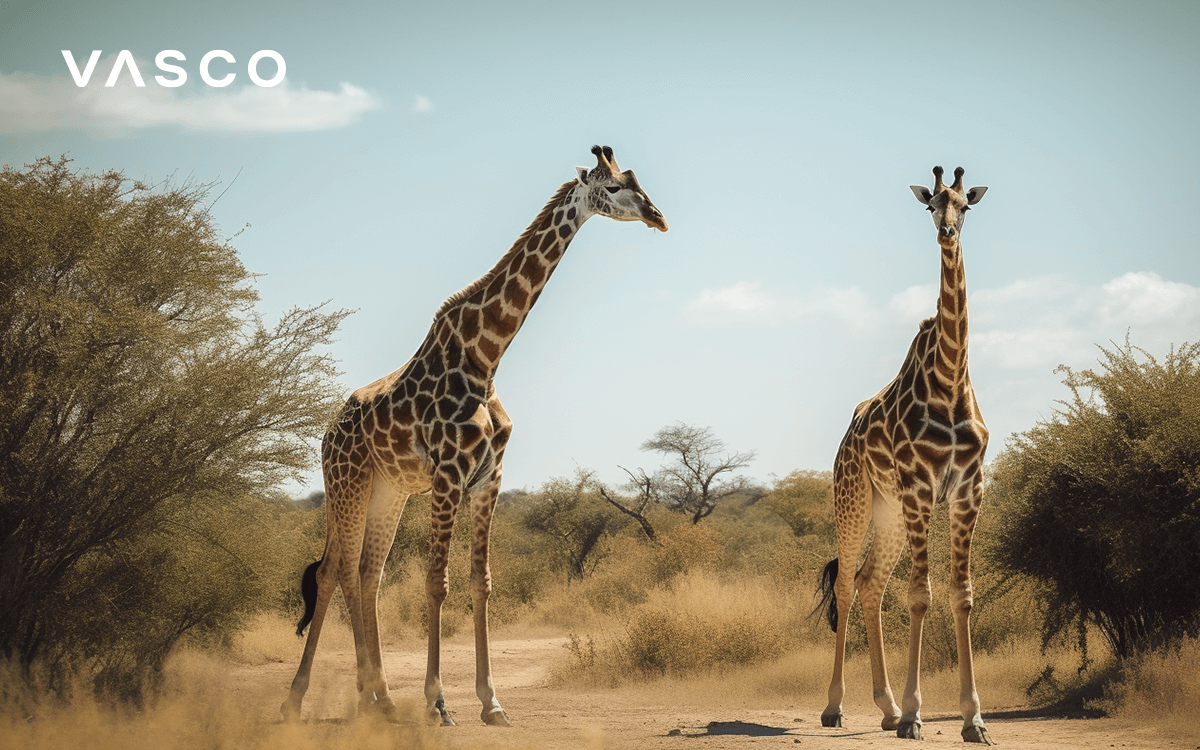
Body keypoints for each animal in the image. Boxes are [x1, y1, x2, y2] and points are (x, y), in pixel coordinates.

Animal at [280, 144, 667, 724]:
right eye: (616, 187)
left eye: (638, 181)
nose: (657, 217)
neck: (486, 357)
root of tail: (326, 436)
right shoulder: (448, 474)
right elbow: (436, 582)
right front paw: (438, 703)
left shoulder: (489, 477)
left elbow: (479, 583)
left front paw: (491, 701)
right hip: (346, 484)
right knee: (333, 572)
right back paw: (301, 699)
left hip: (388, 490)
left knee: (367, 574)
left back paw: (379, 698)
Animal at [816, 165, 993, 744]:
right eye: (931, 204)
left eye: (965, 204)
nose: (946, 232)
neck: (951, 378)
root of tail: (845, 439)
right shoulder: (920, 486)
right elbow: (920, 595)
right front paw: (918, 715)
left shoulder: (967, 489)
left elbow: (961, 595)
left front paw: (974, 720)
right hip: (854, 499)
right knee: (847, 586)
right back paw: (837, 708)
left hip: (889, 511)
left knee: (870, 585)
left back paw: (887, 707)